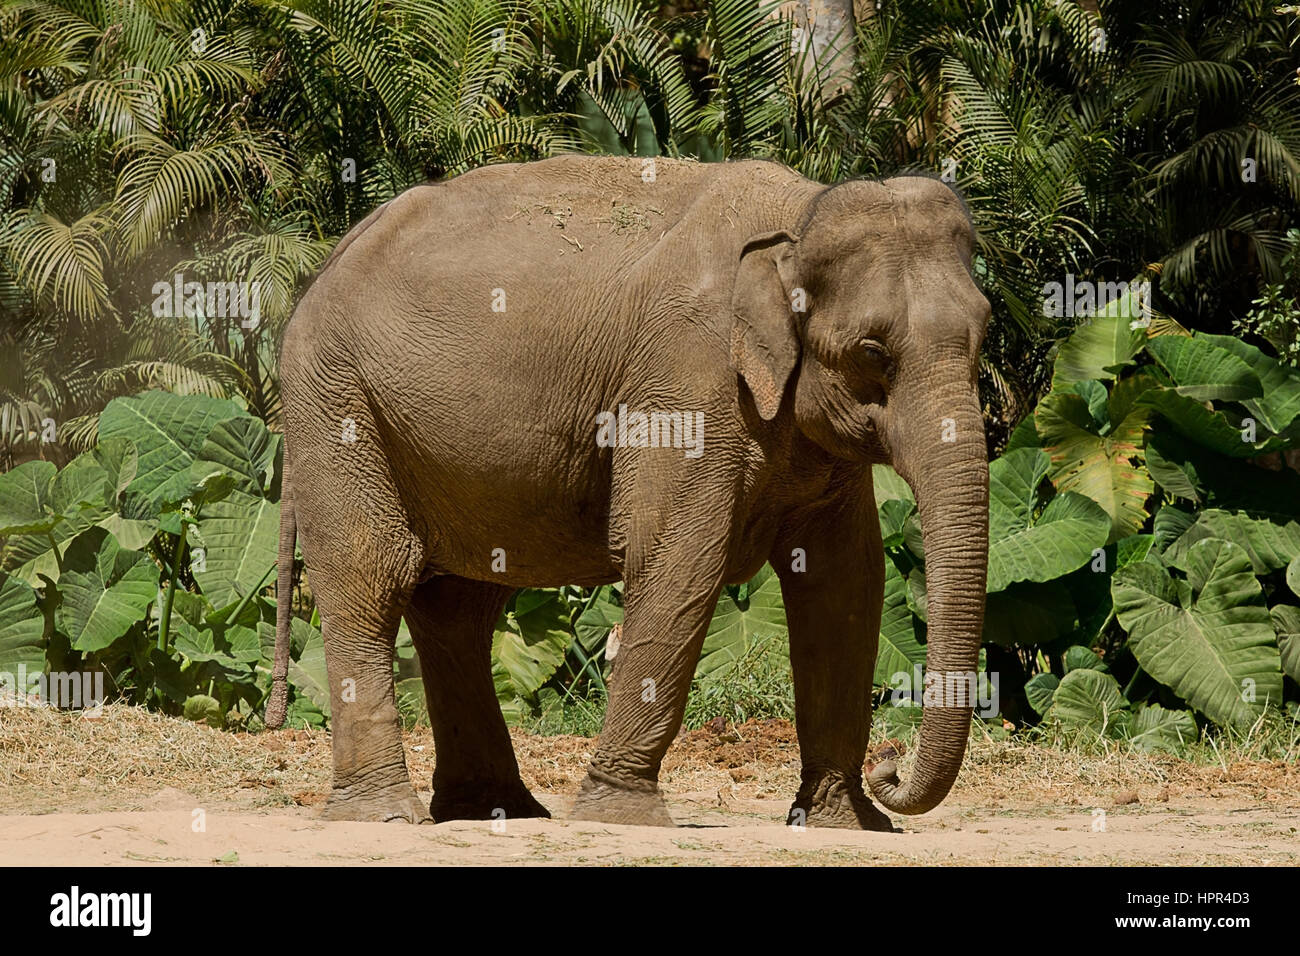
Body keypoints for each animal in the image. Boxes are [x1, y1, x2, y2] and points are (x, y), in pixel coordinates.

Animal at [264, 155, 990, 830]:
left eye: (983, 335)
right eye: (872, 351)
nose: (891, 767)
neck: (802, 211)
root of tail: (328, 261)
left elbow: (846, 582)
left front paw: (846, 823)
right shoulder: (685, 382)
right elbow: (676, 558)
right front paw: (623, 815)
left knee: (459, 605)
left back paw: (497, 810)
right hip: (339, 401)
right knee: (370, 577)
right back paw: (386, 814)